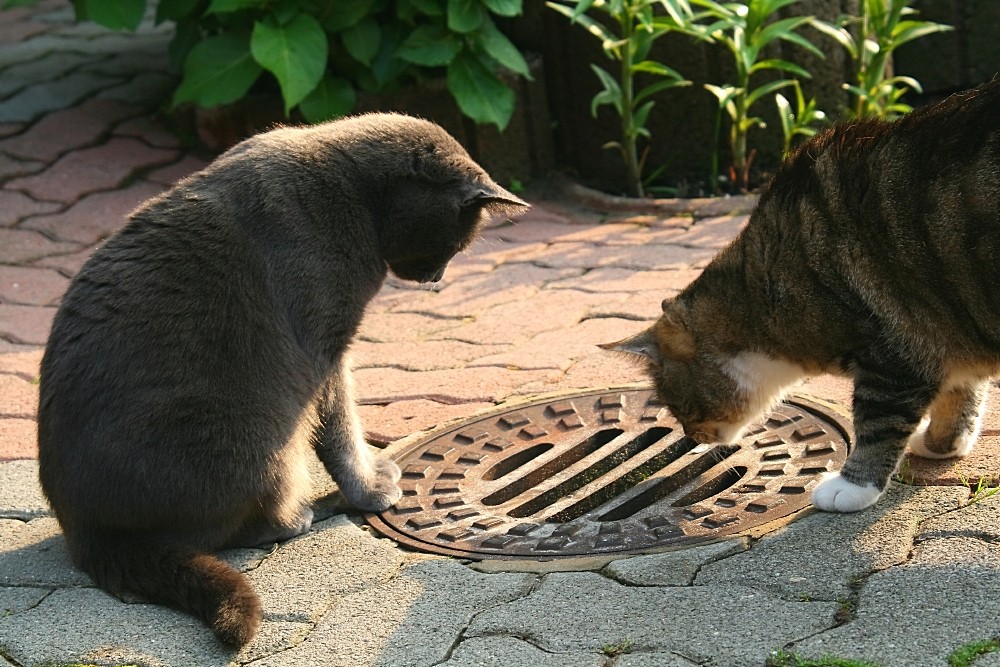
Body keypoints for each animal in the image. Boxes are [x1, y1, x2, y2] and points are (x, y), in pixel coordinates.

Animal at [35, 113, 528, 648]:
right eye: (455, 242)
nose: (436, 278)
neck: (356, 195)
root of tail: (86, 532)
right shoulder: (323, 347)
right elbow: (341, 429)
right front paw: (371, 489)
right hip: (253, 430)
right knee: (221, 528)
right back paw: (295, 517)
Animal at [600, 81, 1000, 516]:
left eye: (678, 406)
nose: (692, 437)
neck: (761, 292)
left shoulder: (896, 351)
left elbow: (878, 422)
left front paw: (852, 486)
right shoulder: (947, 331)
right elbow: (963, 392)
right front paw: (941, 442)